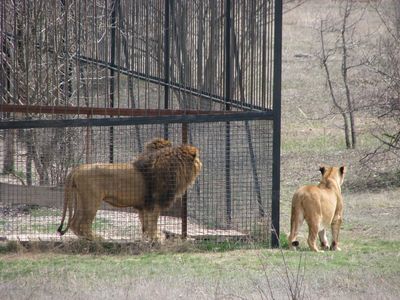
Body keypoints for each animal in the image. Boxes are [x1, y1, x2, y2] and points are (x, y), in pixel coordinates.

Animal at [56, 139, 202, 241]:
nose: (201, 164)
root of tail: (76, 169)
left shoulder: (145, 205)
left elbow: (145, 223)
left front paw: (147, 238)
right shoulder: (154, 203)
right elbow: (153, 222)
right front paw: (156, 238)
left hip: (81, 200)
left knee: (75, 223)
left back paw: (85, 238)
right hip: (92, 200)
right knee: (84, 224)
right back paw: (95, 238)